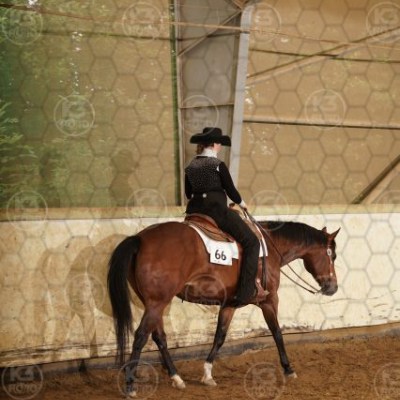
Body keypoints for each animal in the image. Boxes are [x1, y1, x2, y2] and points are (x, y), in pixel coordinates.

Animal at [107, 217, 340, 397]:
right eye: (332, 255)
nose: (333, 287)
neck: (271, 248)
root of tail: (140, 238)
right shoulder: (269, 301)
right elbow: (277, 333)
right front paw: (289, 369)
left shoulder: (229, 304)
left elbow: (219, 336)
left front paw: (208, 373)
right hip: (157, 302)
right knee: (140, 336)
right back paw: (130, 385)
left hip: (155, 303)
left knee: (159, 337)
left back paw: (176, 377)